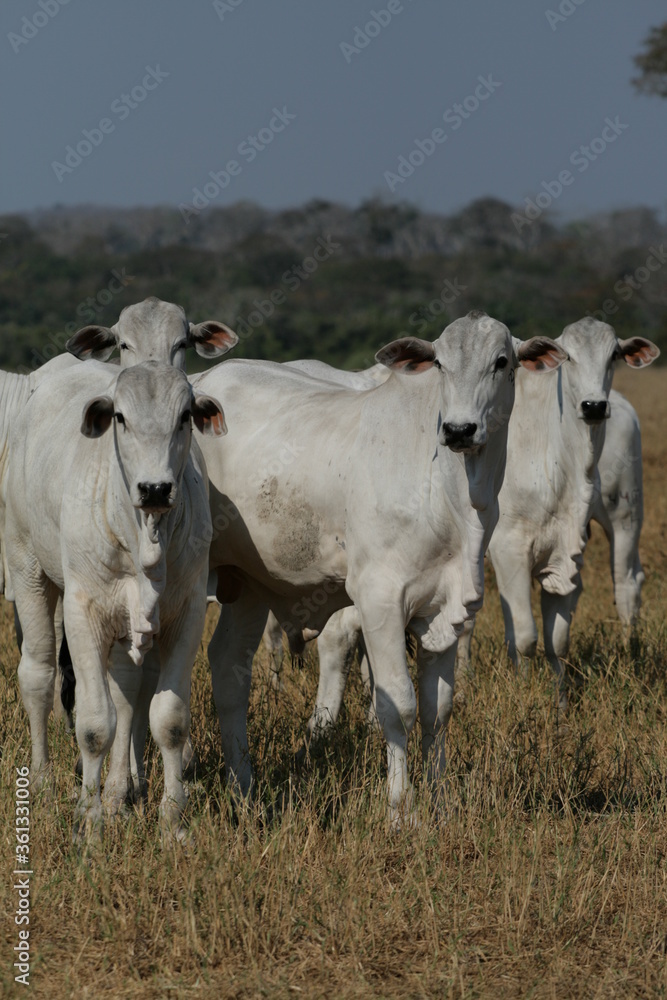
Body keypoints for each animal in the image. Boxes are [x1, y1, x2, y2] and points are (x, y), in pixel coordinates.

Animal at [5, 364, 226, 840]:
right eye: (120, 417)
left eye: (185, 416)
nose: (155, 488)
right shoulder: (82, 612)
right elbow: (93, 725)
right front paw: (88, 825)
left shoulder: (188, 614)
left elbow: (168, 719)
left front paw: (171, 823)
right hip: (27, 569)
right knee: (38, 675)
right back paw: (44, 781)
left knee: (126, 692)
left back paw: (118, 794)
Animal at [190, 314, 568, 820]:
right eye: (440, 364)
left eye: (502, 361)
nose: (459, 430)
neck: (454, 496)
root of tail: (201, 380)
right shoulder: (380, 599)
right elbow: (398, 705)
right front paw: (400, 809)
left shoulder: (444, 608)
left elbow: (437, 710)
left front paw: (439, 803)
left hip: (249, 584)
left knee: (229, 669)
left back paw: (244, 792)